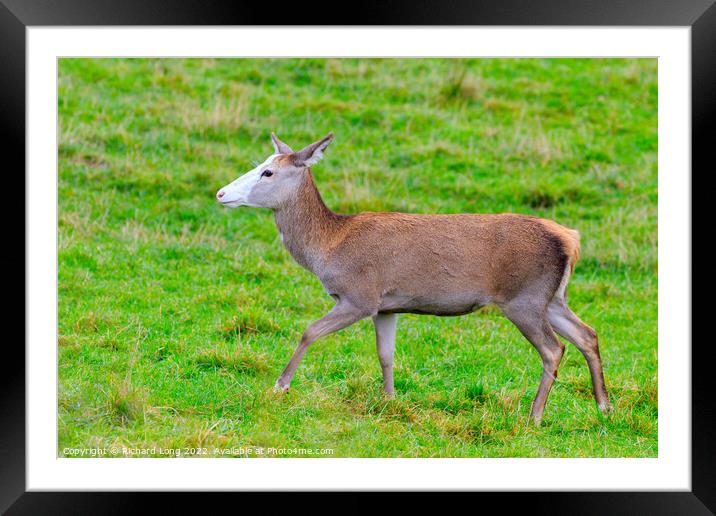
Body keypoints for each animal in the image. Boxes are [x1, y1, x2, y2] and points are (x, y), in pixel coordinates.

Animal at [215, 133, 612, 424]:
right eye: (259, 165)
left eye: (267, 172)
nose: (221, 193)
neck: (329, 248)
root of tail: (569, 239)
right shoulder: (387, 307)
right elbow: (385, 355)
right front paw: (390, 401)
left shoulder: (360, 294)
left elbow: (309, 331)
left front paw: (280, 386)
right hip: (552, 297)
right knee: (587, 334)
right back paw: (604, 407)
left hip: (523, 298)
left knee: (553, 348)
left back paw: (534, 416)